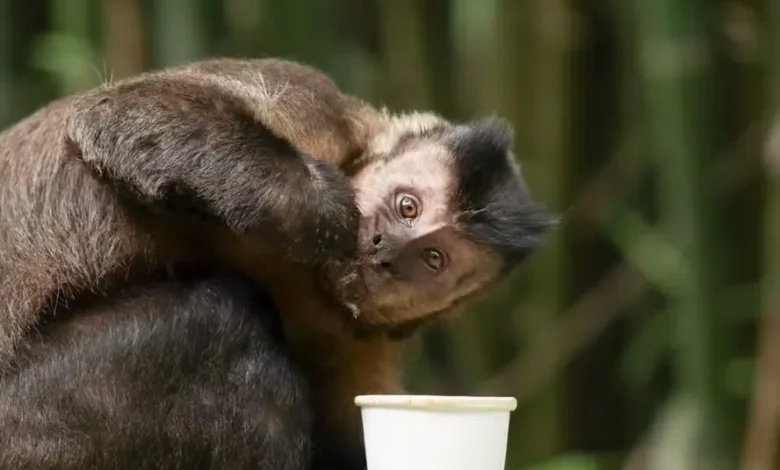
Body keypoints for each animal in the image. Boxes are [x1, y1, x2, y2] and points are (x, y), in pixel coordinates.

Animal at [0, 57, 555, 467]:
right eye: (407, 207)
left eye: (433, 258)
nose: (386, 251)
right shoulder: (321, 111)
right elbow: (120, 114)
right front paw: (328, 214)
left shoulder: (367, 342)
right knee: (220, 319)